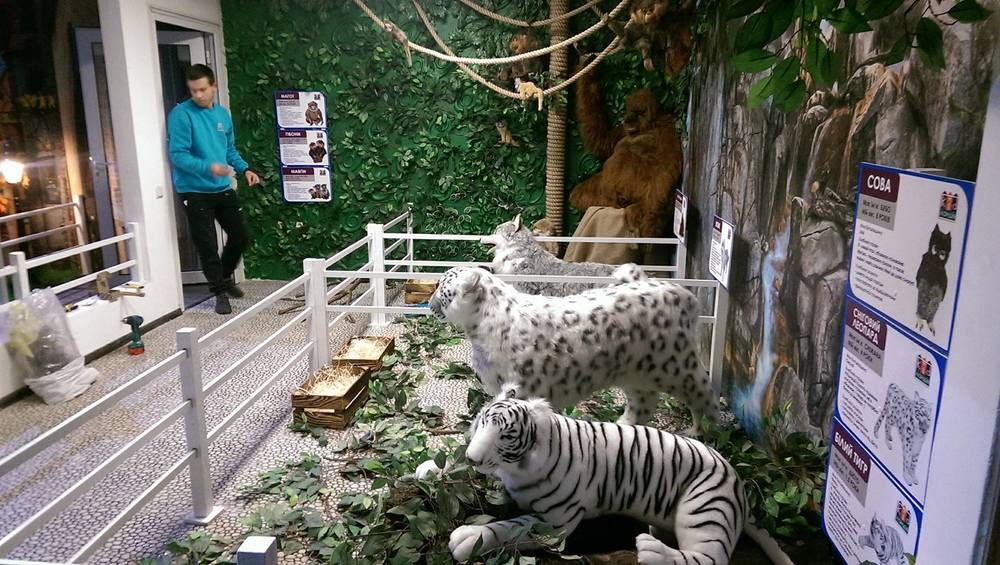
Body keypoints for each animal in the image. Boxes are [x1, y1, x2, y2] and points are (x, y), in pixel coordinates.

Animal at [446, 390, 794, 565]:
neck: (516, 467)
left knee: (709, 559)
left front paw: (467, 538)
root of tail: (739, 483)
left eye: (505, 435)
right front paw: (440, 468)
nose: (472, 457)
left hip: (704, 508)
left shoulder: (557, 523)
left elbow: (511, 527)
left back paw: (652, 552)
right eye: (481, 421)